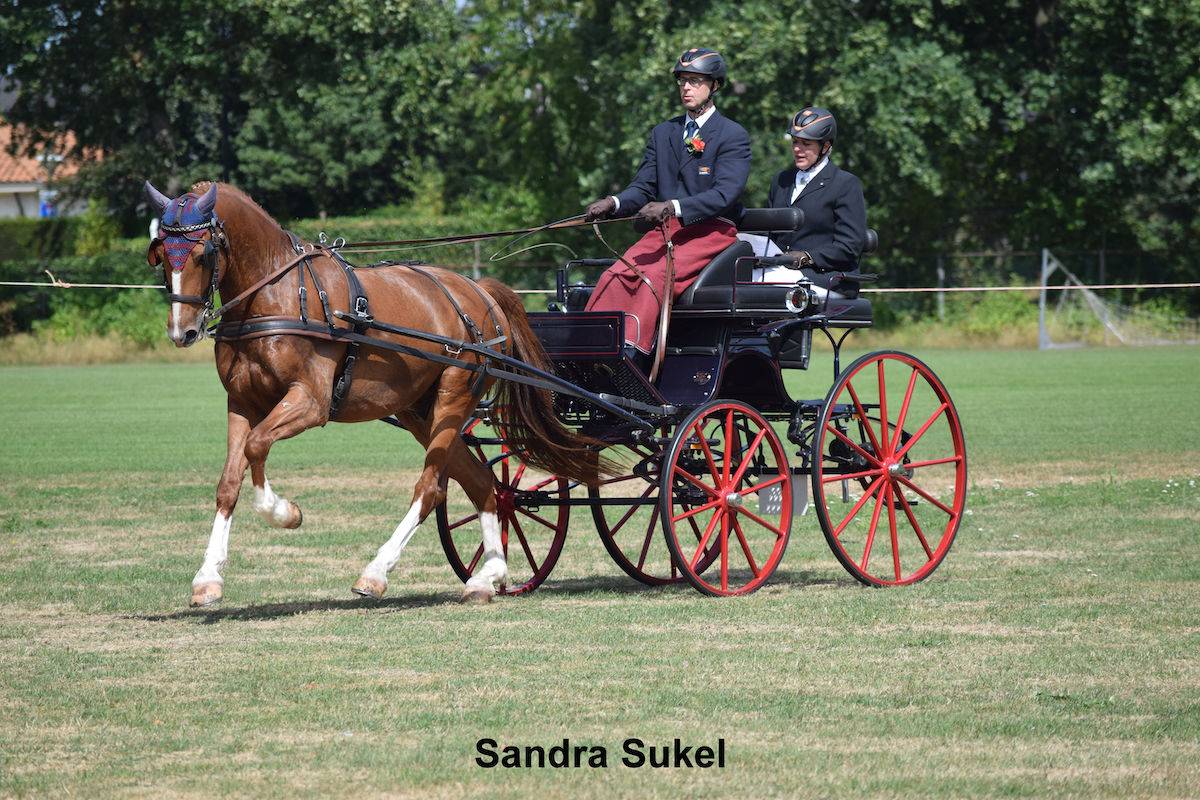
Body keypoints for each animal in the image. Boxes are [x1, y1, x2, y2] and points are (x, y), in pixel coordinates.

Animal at [147, 181, 597, 606]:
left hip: (453, 397)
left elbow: (257, 446)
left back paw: (377, 573)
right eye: (162, 256)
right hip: (421, 411)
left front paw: (285, 513)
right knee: (484, 483)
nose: (182, 331)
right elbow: (228, 481)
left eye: (202, 254)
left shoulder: (310, 401)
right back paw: (486, 577)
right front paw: (208, 578)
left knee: (431, 488)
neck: (279, 295)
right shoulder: (241, 403)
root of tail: (480, 291)